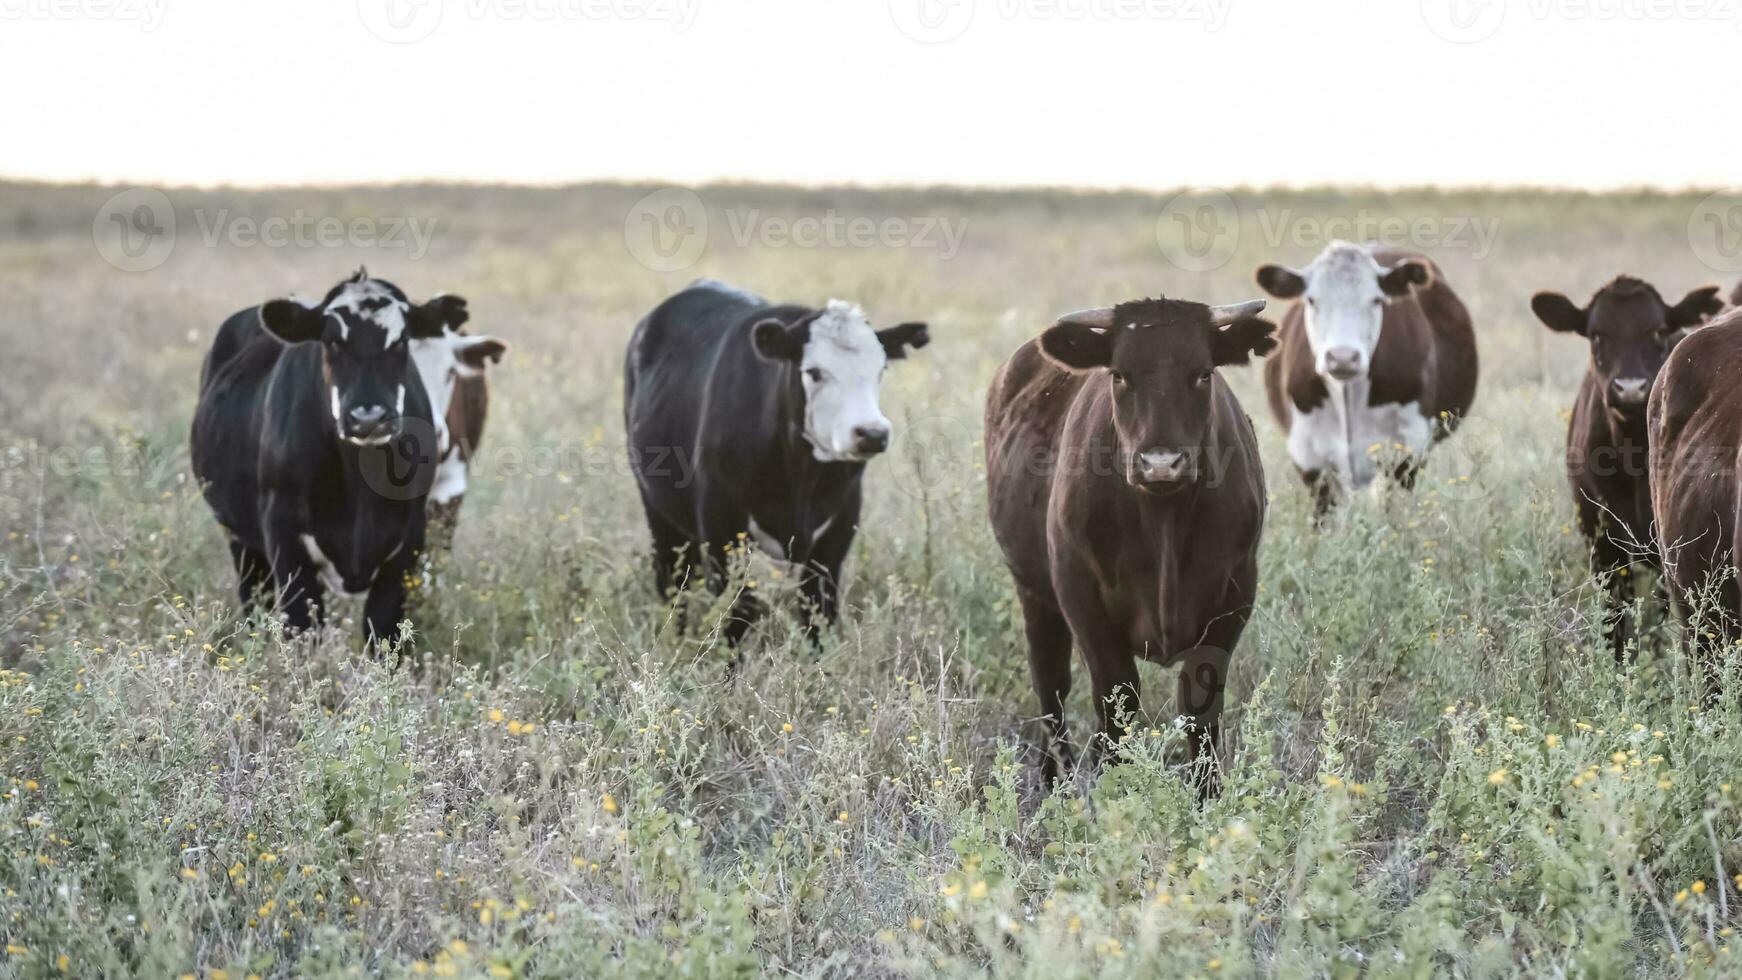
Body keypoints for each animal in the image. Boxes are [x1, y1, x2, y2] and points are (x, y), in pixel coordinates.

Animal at [191, 269, 494, 649]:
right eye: (332, 341)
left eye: (400, 340)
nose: (368, 417)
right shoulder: (284, 536)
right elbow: (303, 626)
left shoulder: (412, 538)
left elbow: (384, 630)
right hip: (240, 539)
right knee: (254, 598)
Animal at [624, 279, 930, 644]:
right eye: (814, 372)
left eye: (880, 369)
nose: (871, 433)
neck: (800, 477)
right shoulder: (720, 528)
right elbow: (736, 613)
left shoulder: (836, 533)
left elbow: (819, 614)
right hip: (659, 512)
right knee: (674, 583)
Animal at [984, 294, 1277, 793]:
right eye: (1119, 374)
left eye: (1204, 373)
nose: (1161, 463)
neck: (1164, 525)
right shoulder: (1080, 596)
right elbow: (1115, 700)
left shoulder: (1237, 593)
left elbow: (1200, 704)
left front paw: (1209, 795)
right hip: (1033, 591)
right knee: (1051, 686)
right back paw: (1053, 780)